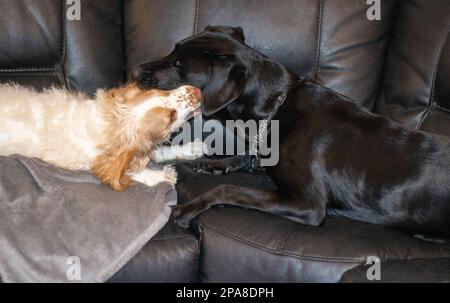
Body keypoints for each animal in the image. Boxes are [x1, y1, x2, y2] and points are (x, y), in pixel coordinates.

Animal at [0, 82, 203, 192]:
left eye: (163, 92)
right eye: (171, 117)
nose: (197, 91)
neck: (112, 124)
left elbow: (157, 152)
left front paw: (192, 148)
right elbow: (127, 171)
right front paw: (162, 176)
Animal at [136, 26, 450, 239]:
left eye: (179, 67)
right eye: (173, 49)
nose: (138, 70)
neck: (277, 106)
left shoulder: (308, 205)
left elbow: (229, 189)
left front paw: (189, 208)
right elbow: (248, 155)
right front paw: (215, 163)